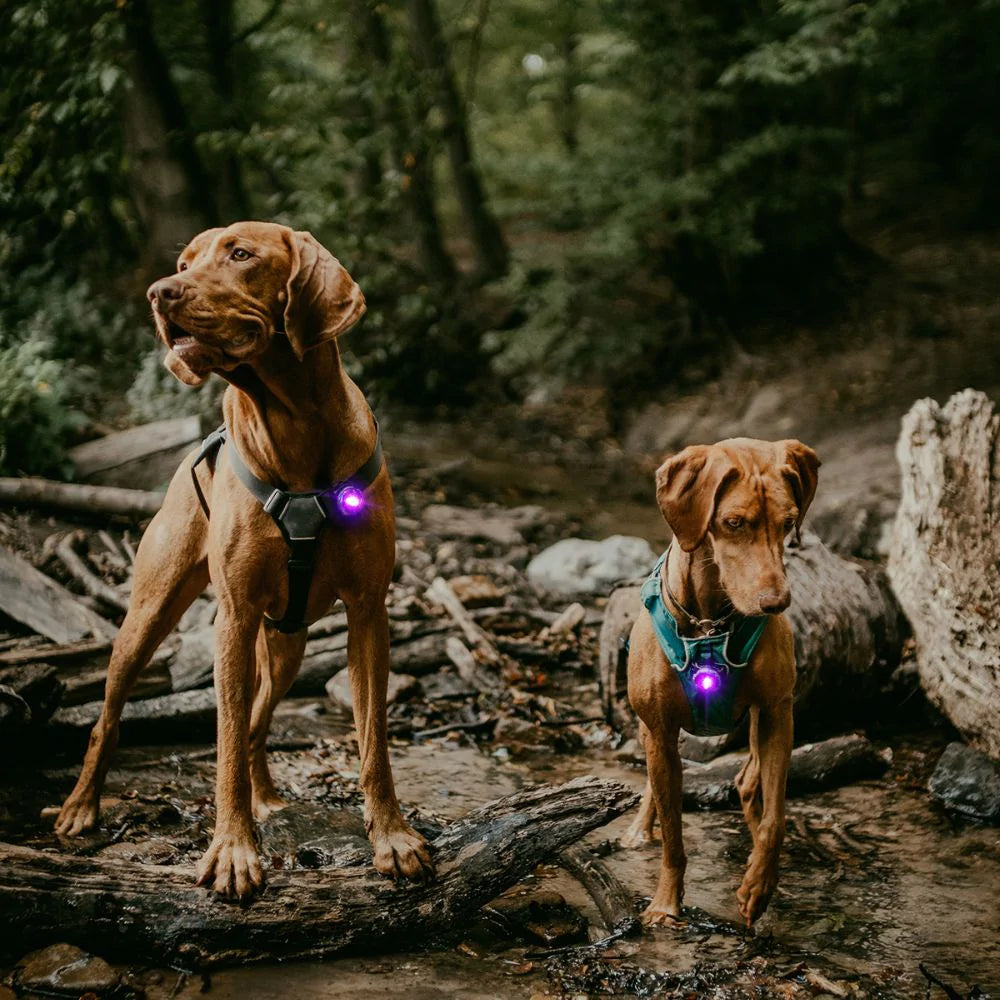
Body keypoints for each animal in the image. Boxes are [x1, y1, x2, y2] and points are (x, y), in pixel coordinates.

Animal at [52, 223, 432, 896]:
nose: (159, 291)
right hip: (149, 617)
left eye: (240, 254)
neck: (296, 426)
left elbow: (373, 742)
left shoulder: (368, 611)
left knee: (258, 721)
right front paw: (232, 851)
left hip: (286, 644)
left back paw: (266, 798)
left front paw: (391, 837)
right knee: (112, 715)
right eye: (183, 264)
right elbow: (224, 742)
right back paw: (80, 806)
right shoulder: (232, 617)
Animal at [624, 438, 820, 928]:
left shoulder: (777, 713)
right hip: (650, 730)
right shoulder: (660, 730)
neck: (711, 622)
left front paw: (759, 885)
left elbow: (775, 819)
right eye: (733, 523)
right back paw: (639, 829)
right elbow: (674, 834)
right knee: (657, 781)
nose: (777, 603)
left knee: (750, 783)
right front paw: (665, 904)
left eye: (787, 523)